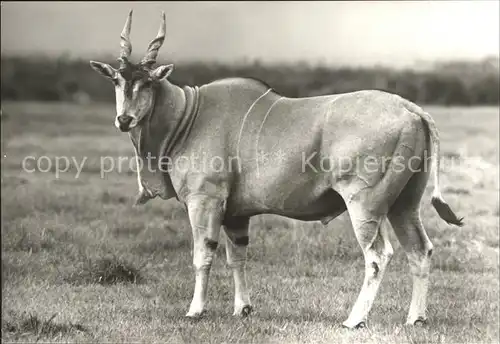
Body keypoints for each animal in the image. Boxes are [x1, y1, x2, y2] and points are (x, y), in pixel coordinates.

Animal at [91, 10, 464, 328]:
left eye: (147, 83)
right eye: (117, 81)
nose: (124, 119)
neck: (188, 114)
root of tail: (410, 108)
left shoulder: (204, 201)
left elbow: (203, 255)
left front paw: (195, 310)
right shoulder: (236, 215)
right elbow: (237, 256)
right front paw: (242, 308)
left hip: (365, 205)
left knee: (378, 255)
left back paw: (355, 319)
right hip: (404, 204)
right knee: (420, 250)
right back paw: (416, 318)